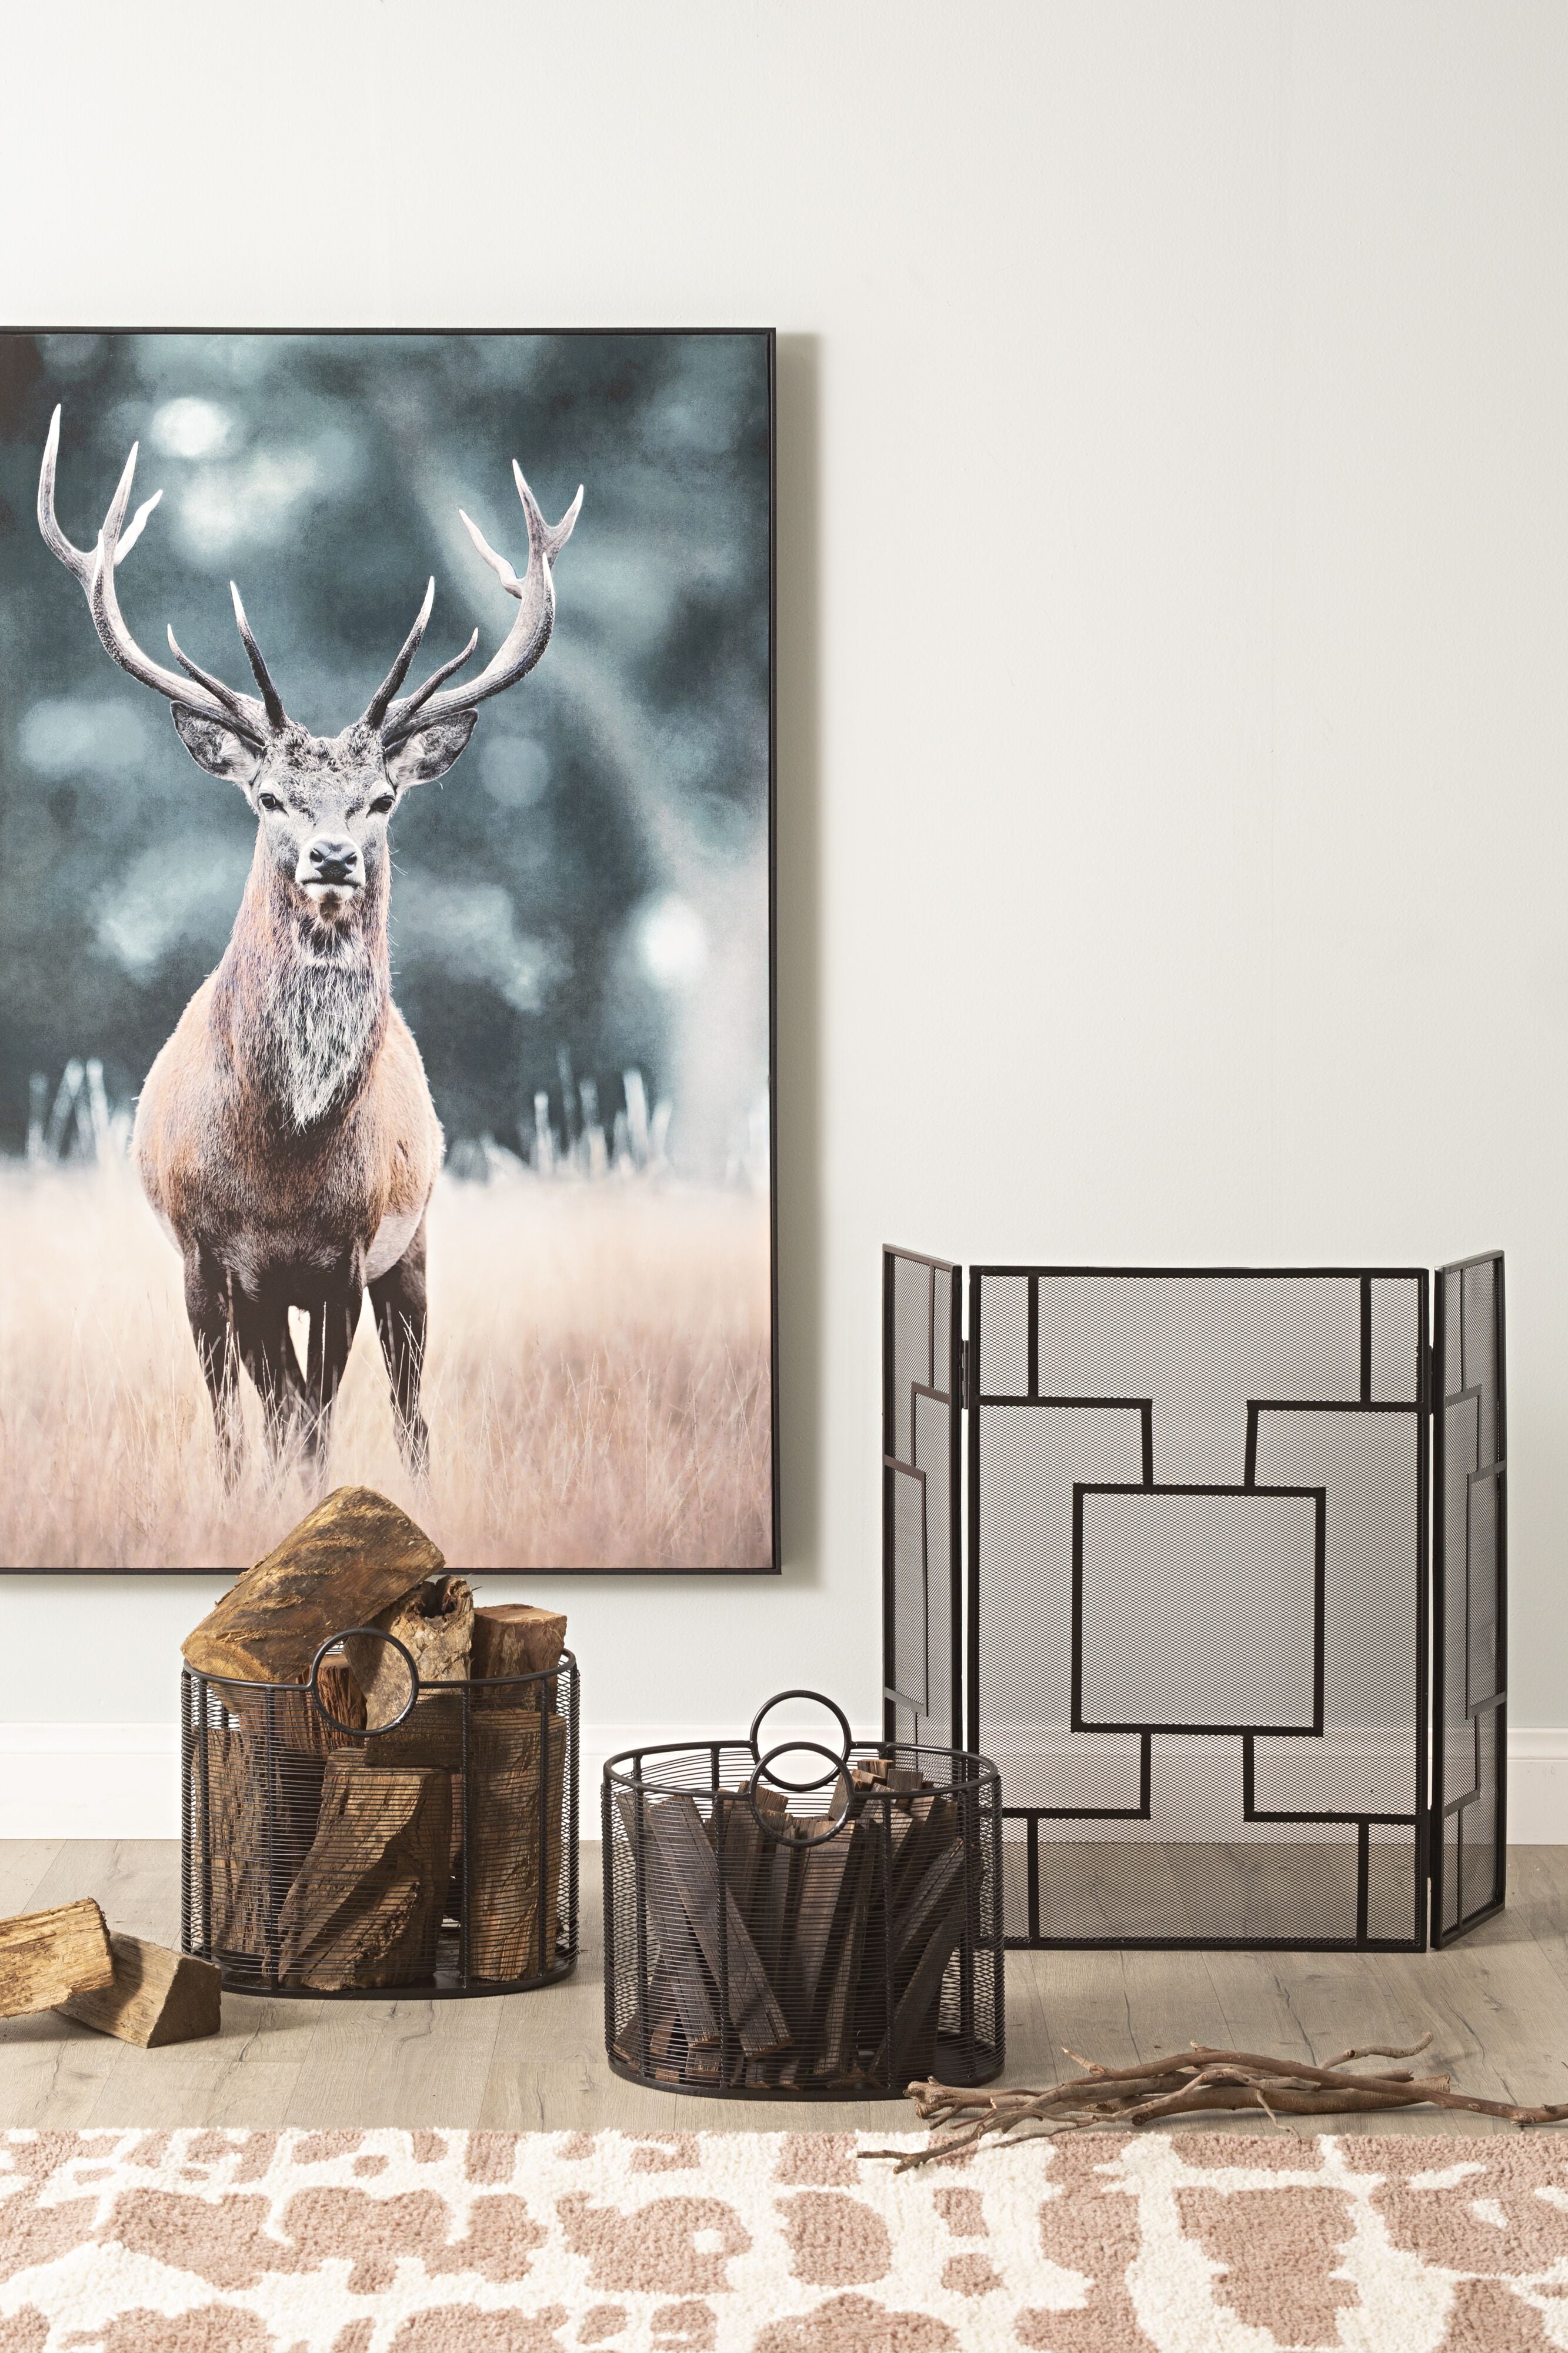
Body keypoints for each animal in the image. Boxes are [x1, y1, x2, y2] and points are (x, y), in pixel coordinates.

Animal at [38, 404, 582, 1480]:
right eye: (267, 796)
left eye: (381, 799)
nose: (331, 857)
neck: (283, 1159)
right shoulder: (208, 1256)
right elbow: (249, 1426)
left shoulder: (345, 1253)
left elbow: (317, 1423)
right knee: (267, 1407)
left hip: (415, 1245)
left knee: (409, 1410)